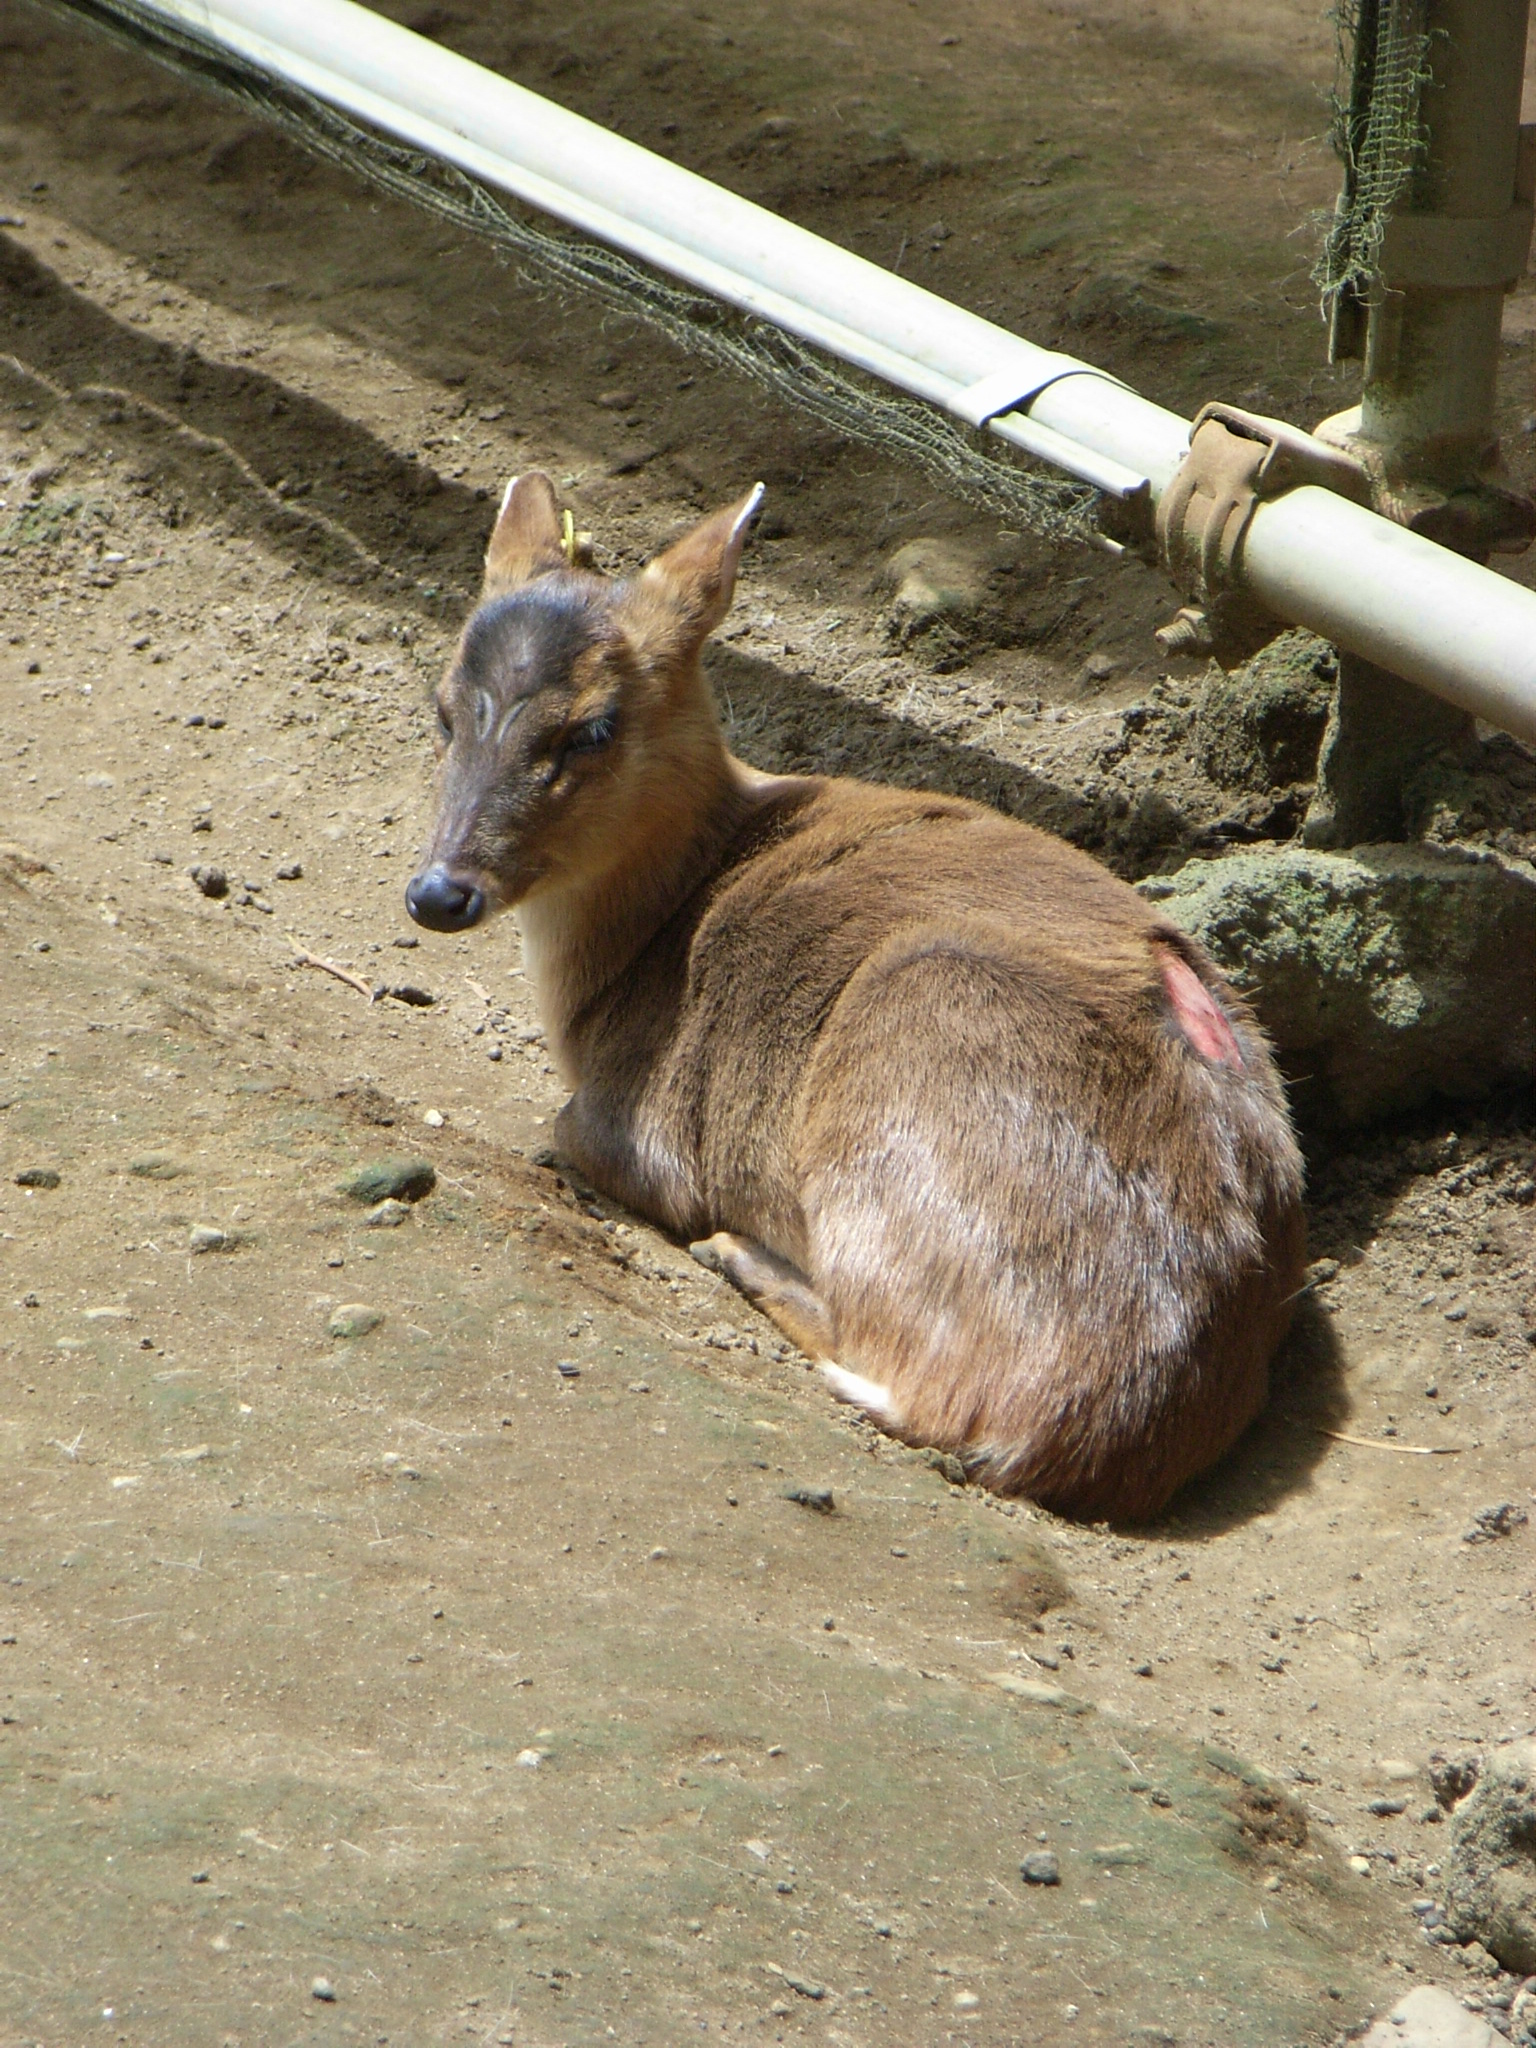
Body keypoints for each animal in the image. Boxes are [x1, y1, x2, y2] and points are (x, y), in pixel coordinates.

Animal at [409, 471, 1310, 1515]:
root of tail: (1080, 1438)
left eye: (593, 725)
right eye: (444, 708)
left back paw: (735, 1254)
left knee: (905, 1375)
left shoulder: (640, 1129)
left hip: (906, 1077)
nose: (437, 892)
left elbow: (566, 1131)